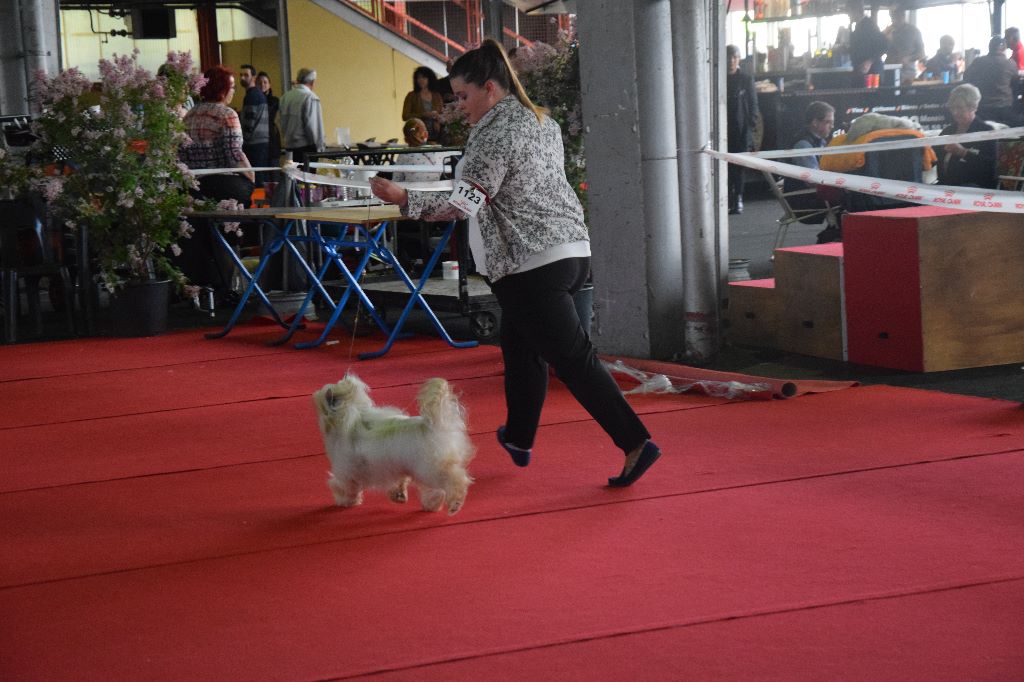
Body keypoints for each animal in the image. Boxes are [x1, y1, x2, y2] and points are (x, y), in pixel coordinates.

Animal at [311, 374, 475, 512]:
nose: (316, 395)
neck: (349, 415)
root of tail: (434, 424)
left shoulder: (347, 471)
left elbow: (342, 485)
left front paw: (344, 500)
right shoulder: (396, 468)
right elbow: (400, 481)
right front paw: (399, 495)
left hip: (431, 469)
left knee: (455, 478)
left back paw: (454, 503)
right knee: (434, 490)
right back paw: (432, 505)